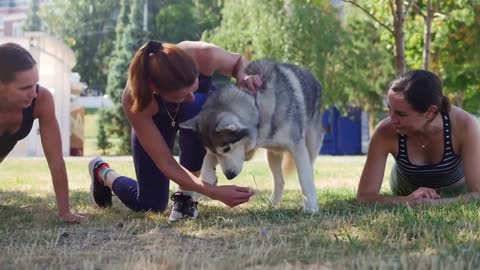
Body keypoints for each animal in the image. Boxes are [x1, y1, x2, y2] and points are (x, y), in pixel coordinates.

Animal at [182, 59, 324, 213]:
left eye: (226, 149)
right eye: (215, 151)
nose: (230, 176)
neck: (256, 106)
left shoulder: (297, 148)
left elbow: (305, 179)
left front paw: (311, 208)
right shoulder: (247, 151)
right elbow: (207, 159)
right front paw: (208, 176)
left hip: (309, 148)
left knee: (307, 171)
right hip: (272, 155)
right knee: (280, 181)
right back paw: (272, 204)